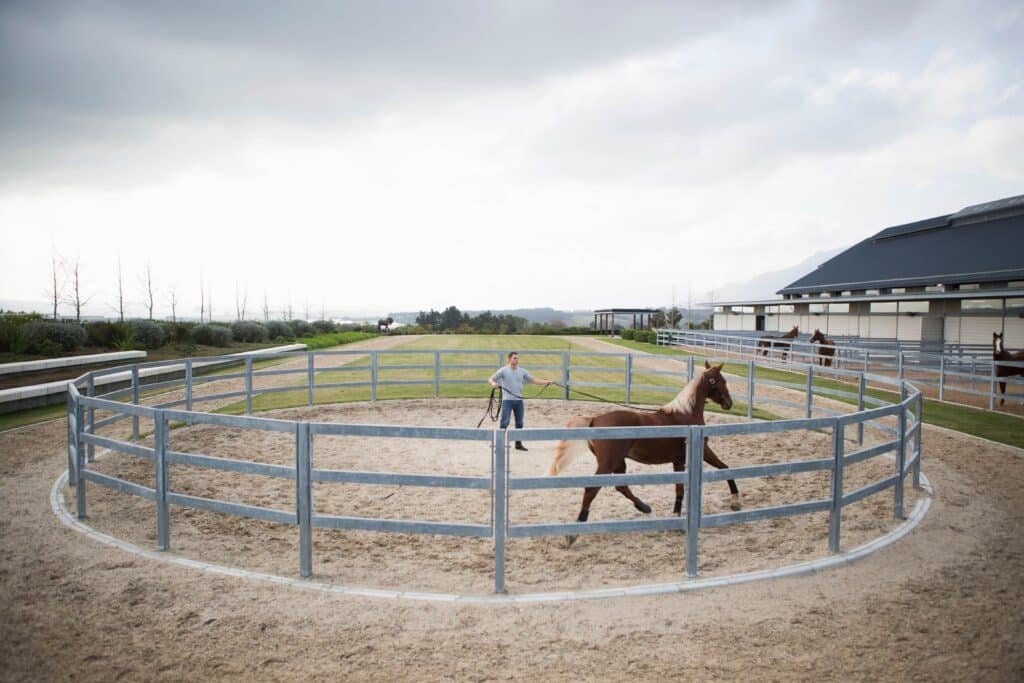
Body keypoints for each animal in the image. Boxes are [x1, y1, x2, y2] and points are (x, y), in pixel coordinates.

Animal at [547, 361, 739, 546]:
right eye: (722, 380)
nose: (729, 403)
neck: (686, 414)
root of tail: (595, 420)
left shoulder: (678, 461)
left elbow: (679, 490)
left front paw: (676, 518)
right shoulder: (703, 452)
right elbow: (725, 469)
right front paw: (735, 501)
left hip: (619, 462)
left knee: (621, 487)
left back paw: (644, 506)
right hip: (608, 464)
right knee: (591, 489)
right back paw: (574, 532)